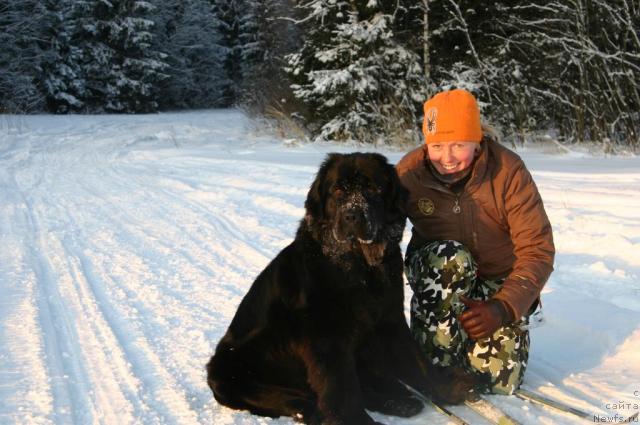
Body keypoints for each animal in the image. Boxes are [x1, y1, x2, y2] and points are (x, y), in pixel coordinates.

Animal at [205, 152, 470, 424]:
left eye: (372, 189)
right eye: (338, 190)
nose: (352, 216)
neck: (359, 265)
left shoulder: (389, 318)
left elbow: (415, 360)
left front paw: (446, 390)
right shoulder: (326, 338)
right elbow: (340, 386)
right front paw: (355, 420)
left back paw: (397, 401)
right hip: (233, 373)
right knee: (299, 399)